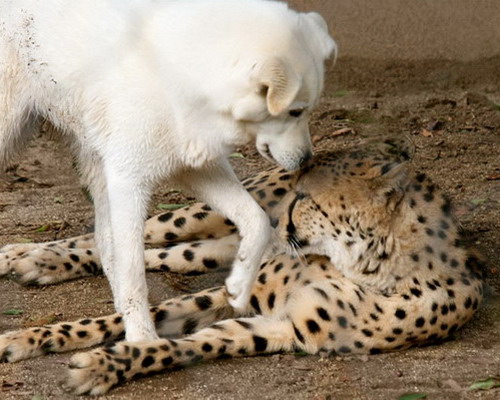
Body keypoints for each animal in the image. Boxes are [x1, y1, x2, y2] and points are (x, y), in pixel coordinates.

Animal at [0, 0, 336, 340]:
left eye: (306, 111)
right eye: (294, 112)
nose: (306, 160)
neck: (191, 75)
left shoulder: (195, 169)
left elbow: (257, 221)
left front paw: (239, 285)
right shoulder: (129, 183)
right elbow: (134, 273)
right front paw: (142, 339)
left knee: (103, 242)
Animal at [0, 137, 484, 394]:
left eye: (306, 199)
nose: (278, 221)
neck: (361, 264)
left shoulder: (283, 327)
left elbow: (182, 345)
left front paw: (104, 365)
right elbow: (119, 318)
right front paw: (27, 338)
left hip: (217, 247)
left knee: (157, 253)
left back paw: (36, 260)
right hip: (209, 212)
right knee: (135, 234)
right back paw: (28, 254)